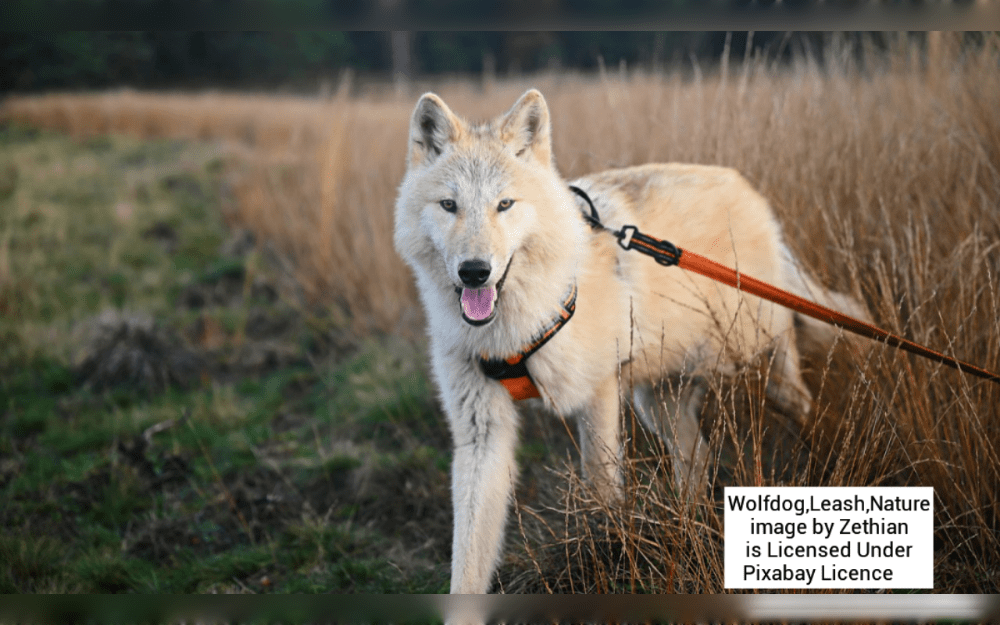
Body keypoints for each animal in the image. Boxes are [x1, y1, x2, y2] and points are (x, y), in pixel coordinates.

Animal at [393, 88, 870, 594]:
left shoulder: (599, 396)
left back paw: (823, 458)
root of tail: (749, 191)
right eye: (449, 205)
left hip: (753, 359)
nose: (474, 272)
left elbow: (601, 493)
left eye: (505, 204)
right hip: (659, 403)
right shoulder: (481, 433)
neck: (513, 331)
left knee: (798, 400)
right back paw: (688, 529)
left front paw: (605, 558)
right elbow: (468, 557)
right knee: (699, 457)